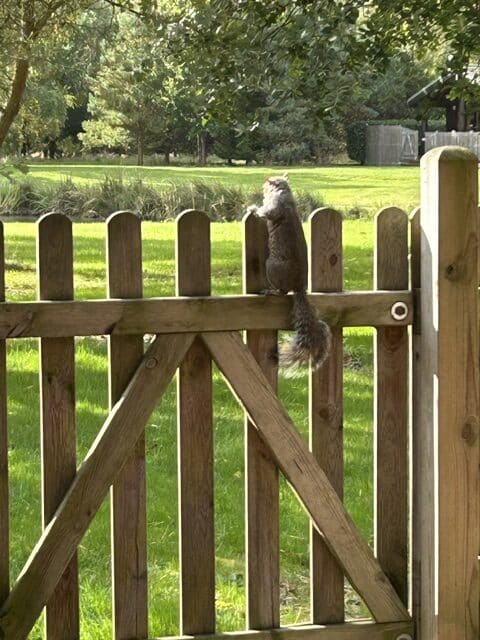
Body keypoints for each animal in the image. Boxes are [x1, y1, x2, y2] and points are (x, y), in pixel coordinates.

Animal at [247, 175, 332, 370]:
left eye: (267, 184)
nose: (262, 188)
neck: (284, 192)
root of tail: (299, 287)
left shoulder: (274, 205)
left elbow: (266, 213)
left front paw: (253, 208)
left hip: (271, 266)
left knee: (283, 292)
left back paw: (270, 291)